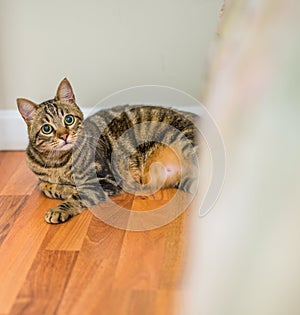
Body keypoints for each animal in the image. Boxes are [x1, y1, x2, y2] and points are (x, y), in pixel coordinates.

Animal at [17, 79, 199, 225]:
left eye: (68, 119)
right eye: (46, 129)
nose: (64, 136)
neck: (58, 163)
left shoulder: (105, 178)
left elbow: (78, 195)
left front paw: (59, 209)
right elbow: (44, 185)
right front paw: (62, 189)